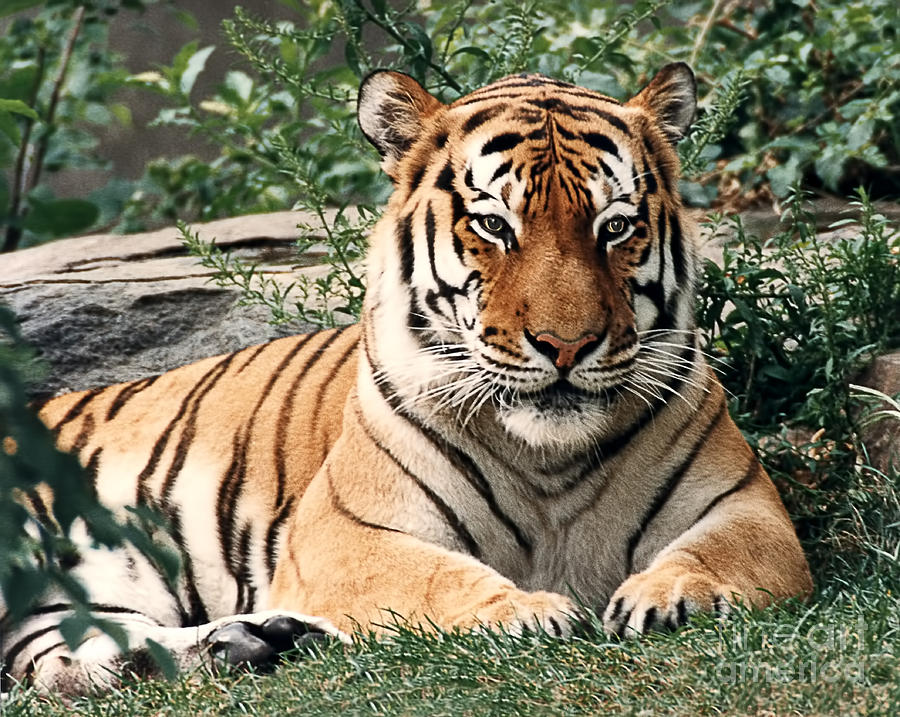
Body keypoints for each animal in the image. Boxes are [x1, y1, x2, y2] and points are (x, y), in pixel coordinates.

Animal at [0, 63, 812, 692]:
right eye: (494, 226)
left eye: (614, 227)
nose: (566, 345)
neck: (549, 460)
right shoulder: (347, 533)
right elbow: (436, 576)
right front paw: (526, 610)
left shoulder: (750, 507)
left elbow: (714, 554)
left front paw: (671, 595)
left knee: (64, 658)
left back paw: (254, 641)